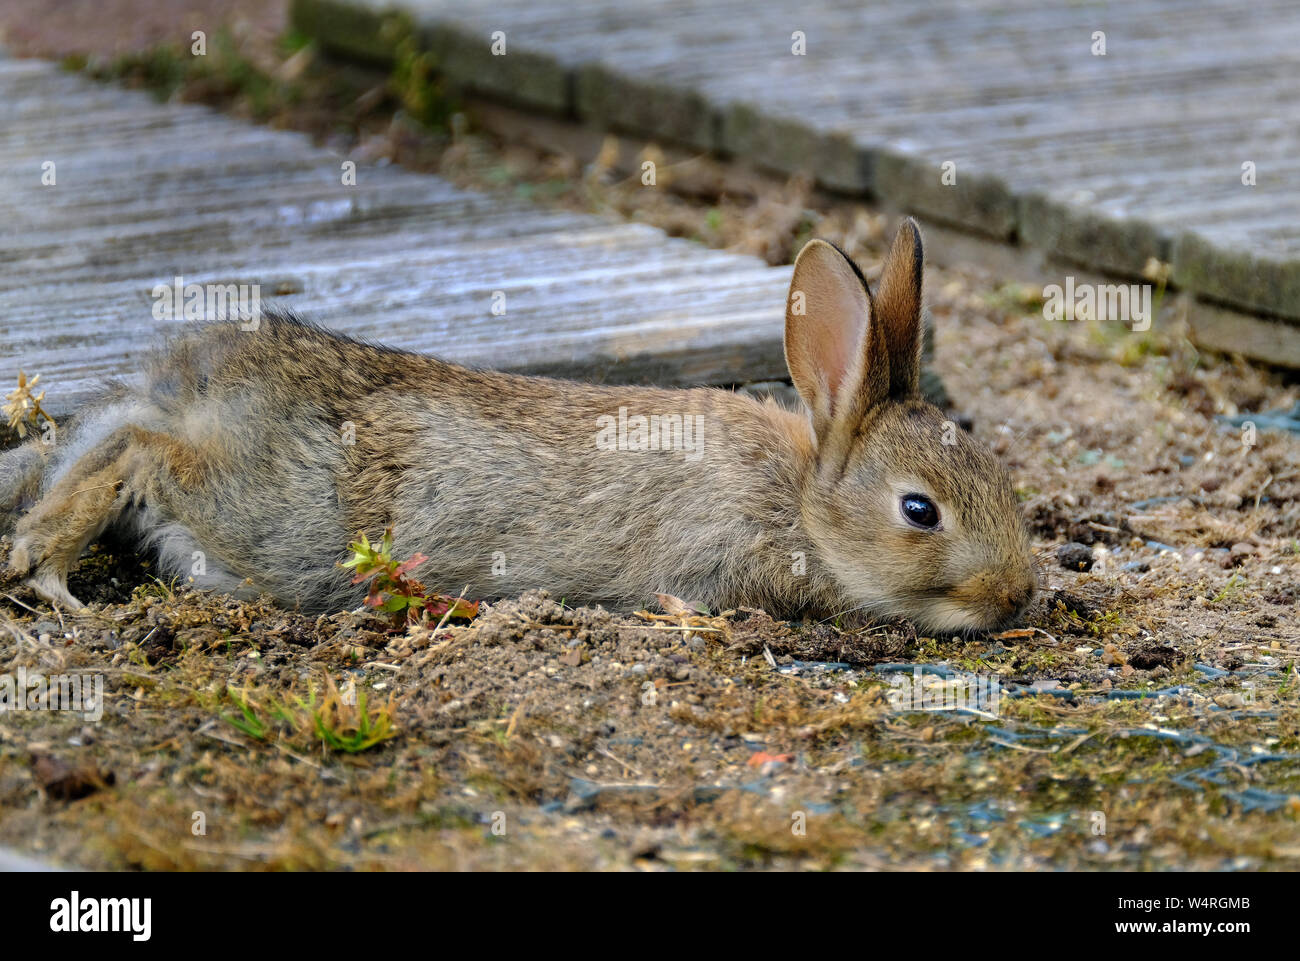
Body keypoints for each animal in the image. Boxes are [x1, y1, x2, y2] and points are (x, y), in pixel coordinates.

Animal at [0, 222, 1034, 634]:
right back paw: (45, 567)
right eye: (920, 511)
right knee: (140, 453)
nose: (1018, 594)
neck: (803, 505)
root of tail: (199, 382)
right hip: (280, 523)